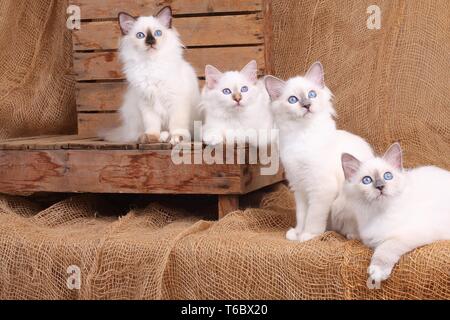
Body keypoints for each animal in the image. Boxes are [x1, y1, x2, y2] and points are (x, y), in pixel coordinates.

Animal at [103, 6, 201, 144]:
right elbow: (152, 125)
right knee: (138, 134)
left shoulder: (177, 100)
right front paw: (152, 137)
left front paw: (177, 137)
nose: (150, 42)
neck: (151, 65)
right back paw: (158, 137)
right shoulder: (146, 103)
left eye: (158, 33)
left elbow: (177, 125)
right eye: (140, 35)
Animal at [264, 62, 372, 242]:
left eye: (311, 94)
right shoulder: (299, 187)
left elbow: (313, 217)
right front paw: (297, 233)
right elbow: (302, 215)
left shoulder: (321, 188)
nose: (307, 105)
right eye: (293, 100)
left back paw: (350, 235)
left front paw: (308, 235)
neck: (302, 135)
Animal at [332, 144, 450, 282]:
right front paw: (352, 235)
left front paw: (377, 271)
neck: (379, 214)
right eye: (367, 180)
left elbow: (386, 247)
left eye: (388, 176)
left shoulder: (410, 234)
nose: (380, 186)